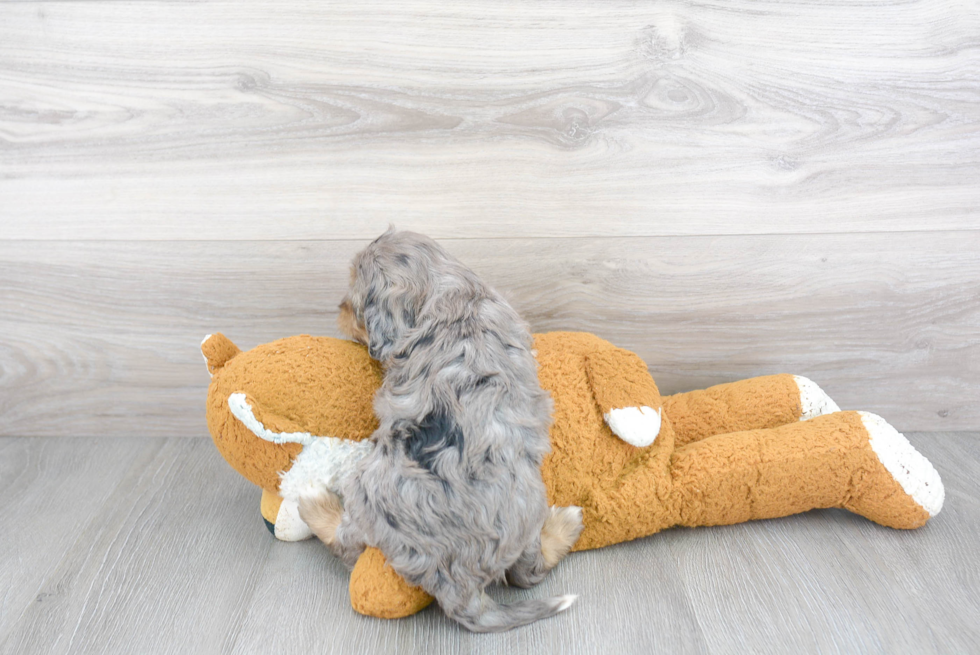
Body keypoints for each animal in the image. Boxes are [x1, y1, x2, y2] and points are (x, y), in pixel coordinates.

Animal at [298, 229, 580, 632]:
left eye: (355, 302)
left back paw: (315, 503)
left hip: (364, 491)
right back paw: (564, 526)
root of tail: (458, 586)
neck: (450, 288)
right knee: (528, 571)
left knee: (346, 543)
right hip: (528, 510)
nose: (337, 310)